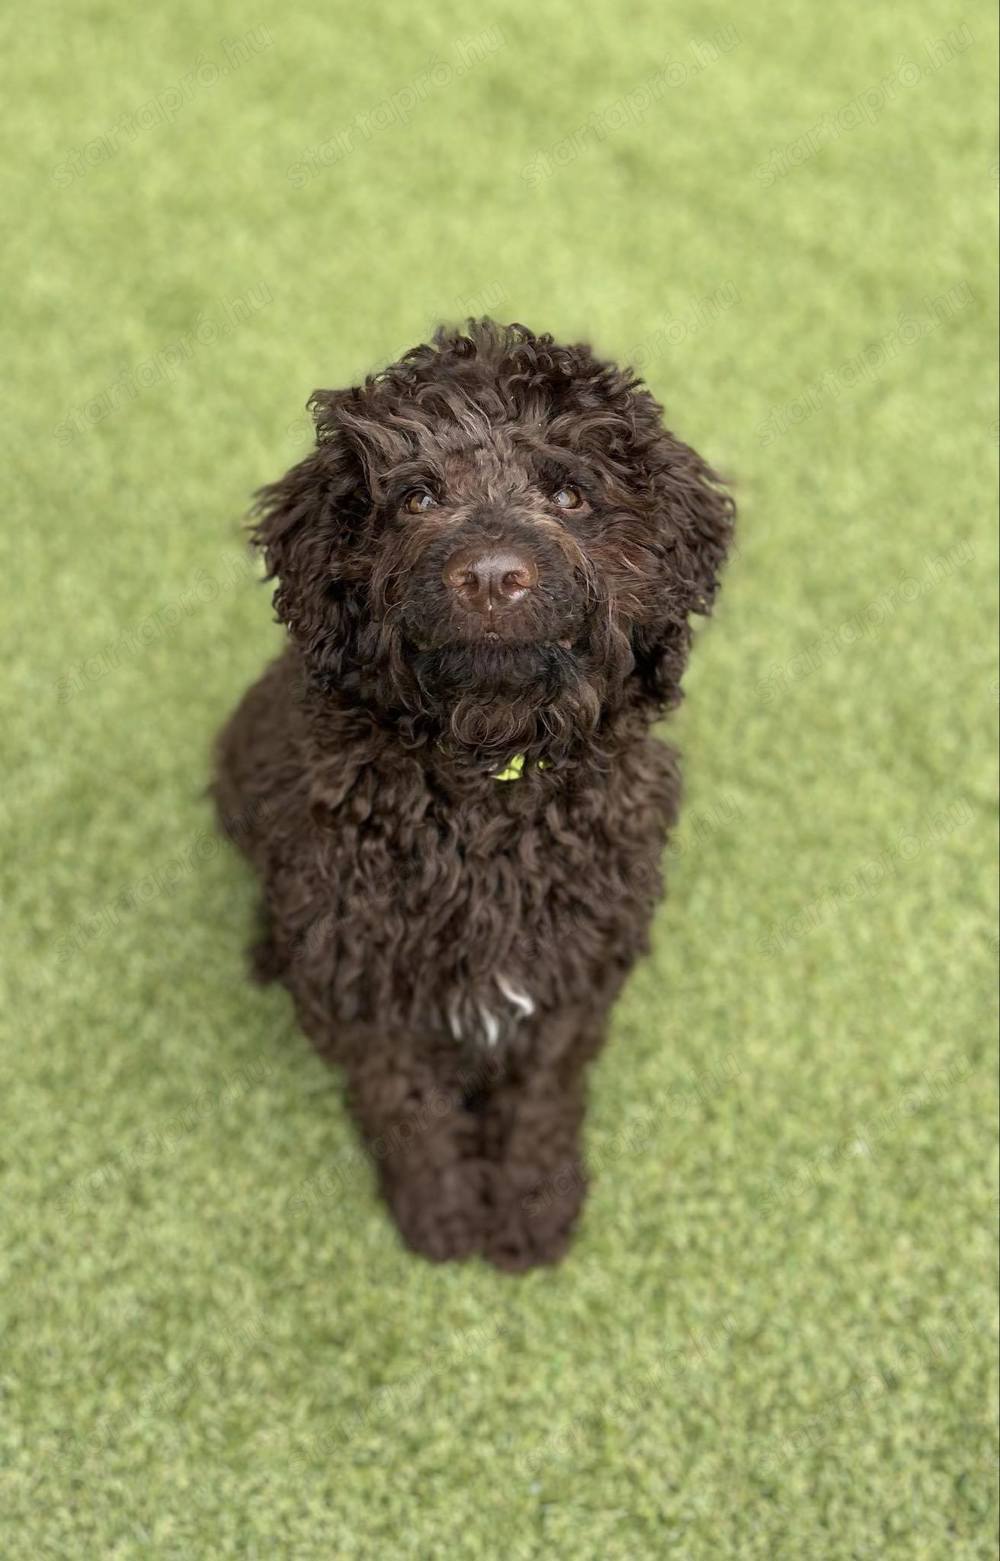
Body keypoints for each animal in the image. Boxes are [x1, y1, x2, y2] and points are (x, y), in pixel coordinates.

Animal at [215, 316, 730, 1267]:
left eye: (569, 493)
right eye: (417, 497)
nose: (492, 576)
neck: (489, 780)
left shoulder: (571, 969)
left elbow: (540, 1096)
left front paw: (531, 1203)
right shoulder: (368, 976)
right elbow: (406, 1102)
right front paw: (443, 1206)